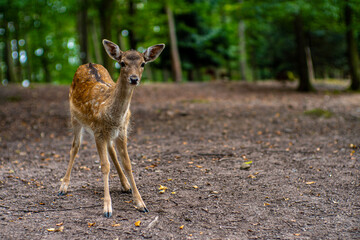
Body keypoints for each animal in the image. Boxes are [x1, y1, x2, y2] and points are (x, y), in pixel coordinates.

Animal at [58, 39, 165, 218]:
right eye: (122, 63)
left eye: (143, 63)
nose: (134, 79)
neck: (111, 115)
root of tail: (88, 63)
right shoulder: (98, 132)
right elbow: (104, 166)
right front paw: (107, 208)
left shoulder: (122, 131)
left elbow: (127, 163)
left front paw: (141, 203)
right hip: (75, 118)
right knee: (75, 147)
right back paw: (63, 187)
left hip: (109, 133)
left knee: (111, 150)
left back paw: (126, 185)